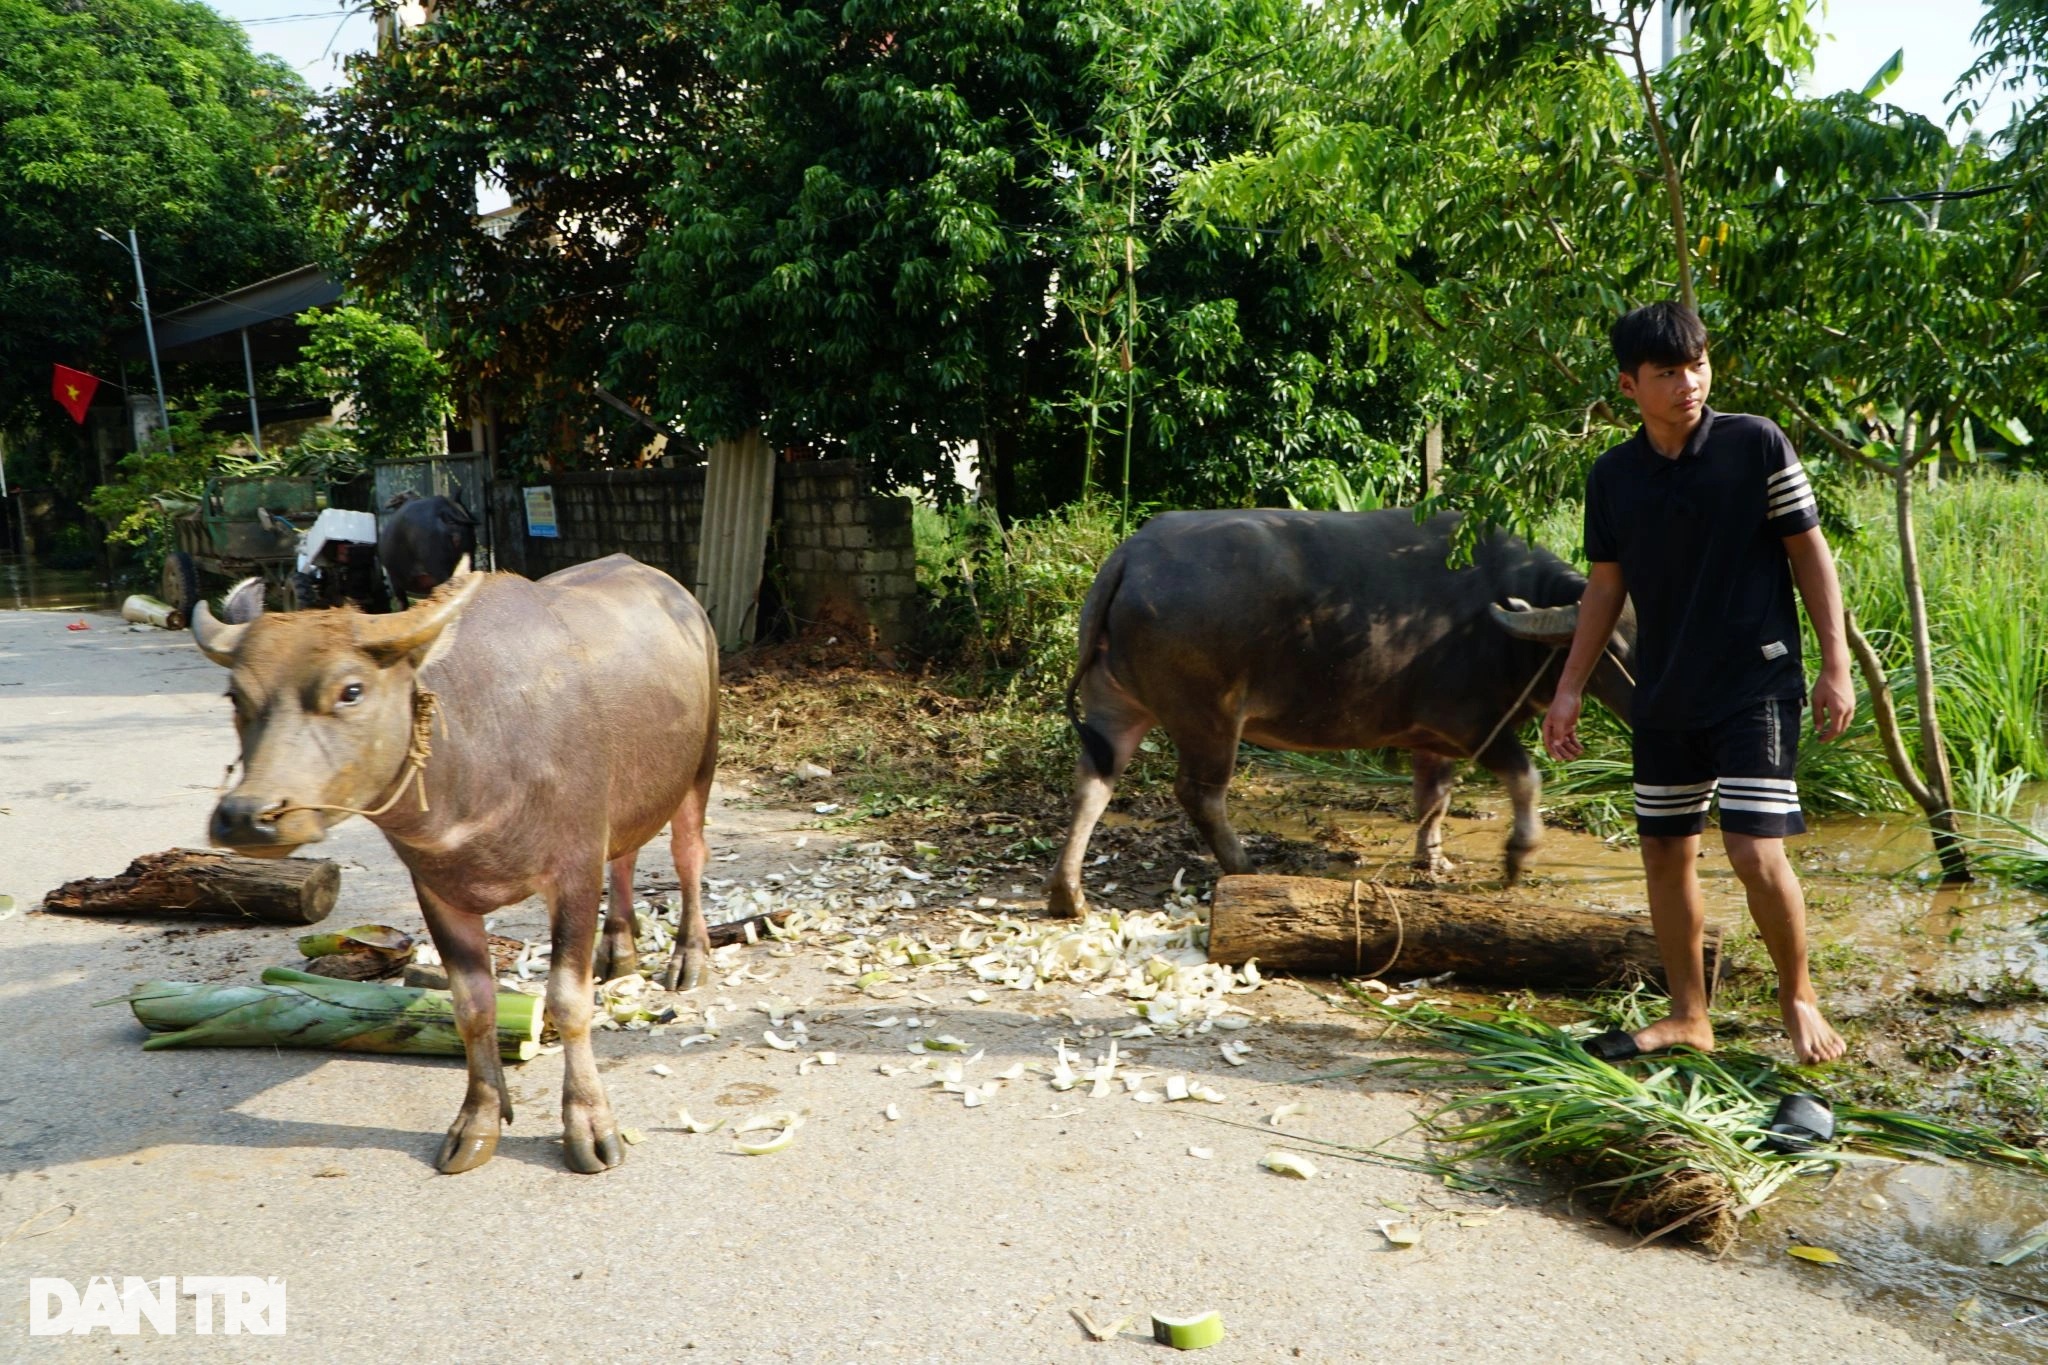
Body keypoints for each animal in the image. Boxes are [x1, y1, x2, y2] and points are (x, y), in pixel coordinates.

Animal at [192, 556, 720, 1178]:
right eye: (235, 696)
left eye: (351, 690)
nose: (248, 816)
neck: (476, 760)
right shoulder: (436, 889)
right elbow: (471, 1006)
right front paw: (478, 1122)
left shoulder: (573, 869)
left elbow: (569, 1003)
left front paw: (589, 1126)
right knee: (628, 852)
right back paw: (618, 946)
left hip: (700, 766)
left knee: (688, 854)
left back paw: (688, 957)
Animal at [1048, 505, 1638, 916]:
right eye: (1617, 646)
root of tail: (1131, 556)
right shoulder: (1474, 724)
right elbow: (1526, 778)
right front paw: (1518, 855)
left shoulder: (1432, 738)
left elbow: (1434, 799)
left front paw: (1432, 860)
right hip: (1209, 716)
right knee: (1199, 792)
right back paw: (1242, 867)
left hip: (1113, 703)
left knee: (1092, 783)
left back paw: (1068, 893)